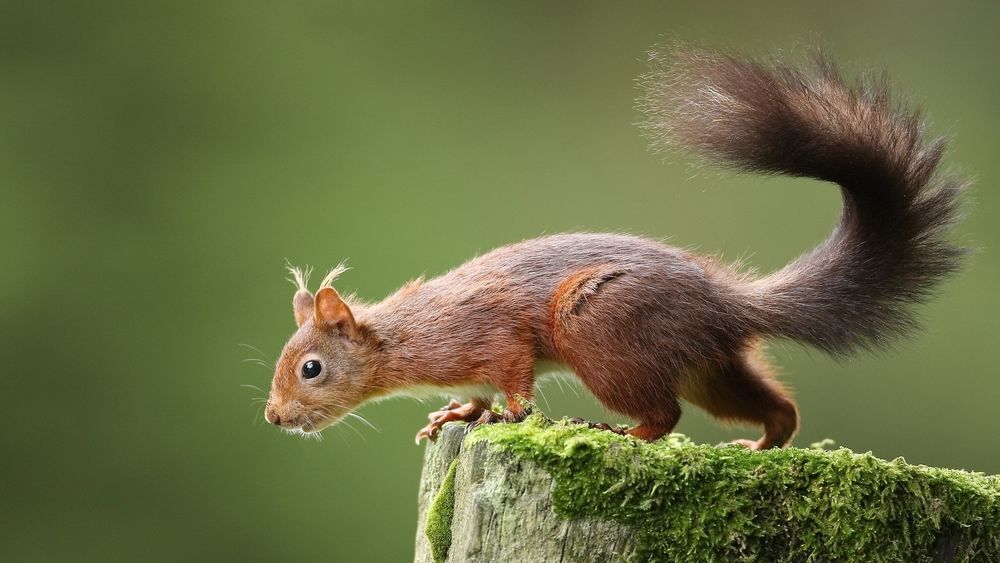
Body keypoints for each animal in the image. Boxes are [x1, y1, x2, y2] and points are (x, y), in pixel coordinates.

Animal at [263, 46, 966, 449]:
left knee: (666, 413)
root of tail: (725, 301)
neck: (403, 334)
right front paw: (456, 415)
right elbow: (478, 393)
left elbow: (512, 378)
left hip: (602, 334)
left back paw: (622, 430)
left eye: (311, 368)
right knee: (773, 405)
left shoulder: (488, 334)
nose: (273, 417)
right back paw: (764, 445)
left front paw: (506, 416)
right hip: (710, 366)